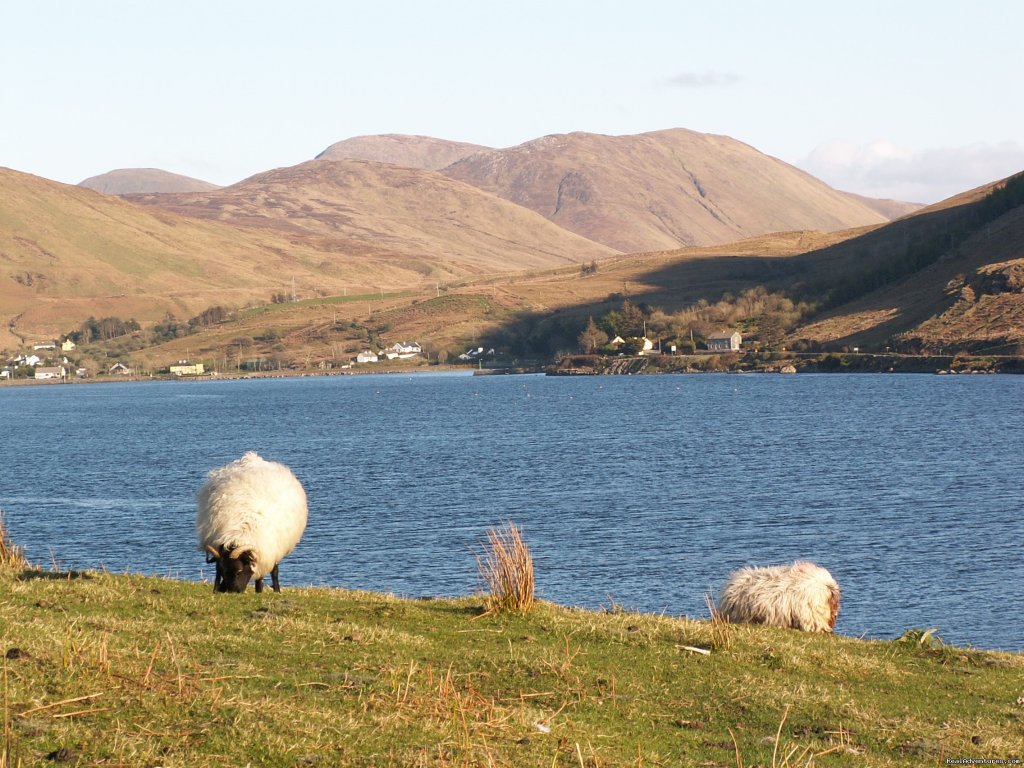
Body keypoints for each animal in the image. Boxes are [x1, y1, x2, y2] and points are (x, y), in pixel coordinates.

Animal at [195, 454, 307, 598]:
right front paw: (215, 589)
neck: (239, 534)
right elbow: (217, 572)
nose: (232, 592)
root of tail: (252, 458)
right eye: (225, 571)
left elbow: (271, 573)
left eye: (239, 571)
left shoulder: (268, 552)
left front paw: (266, 590)